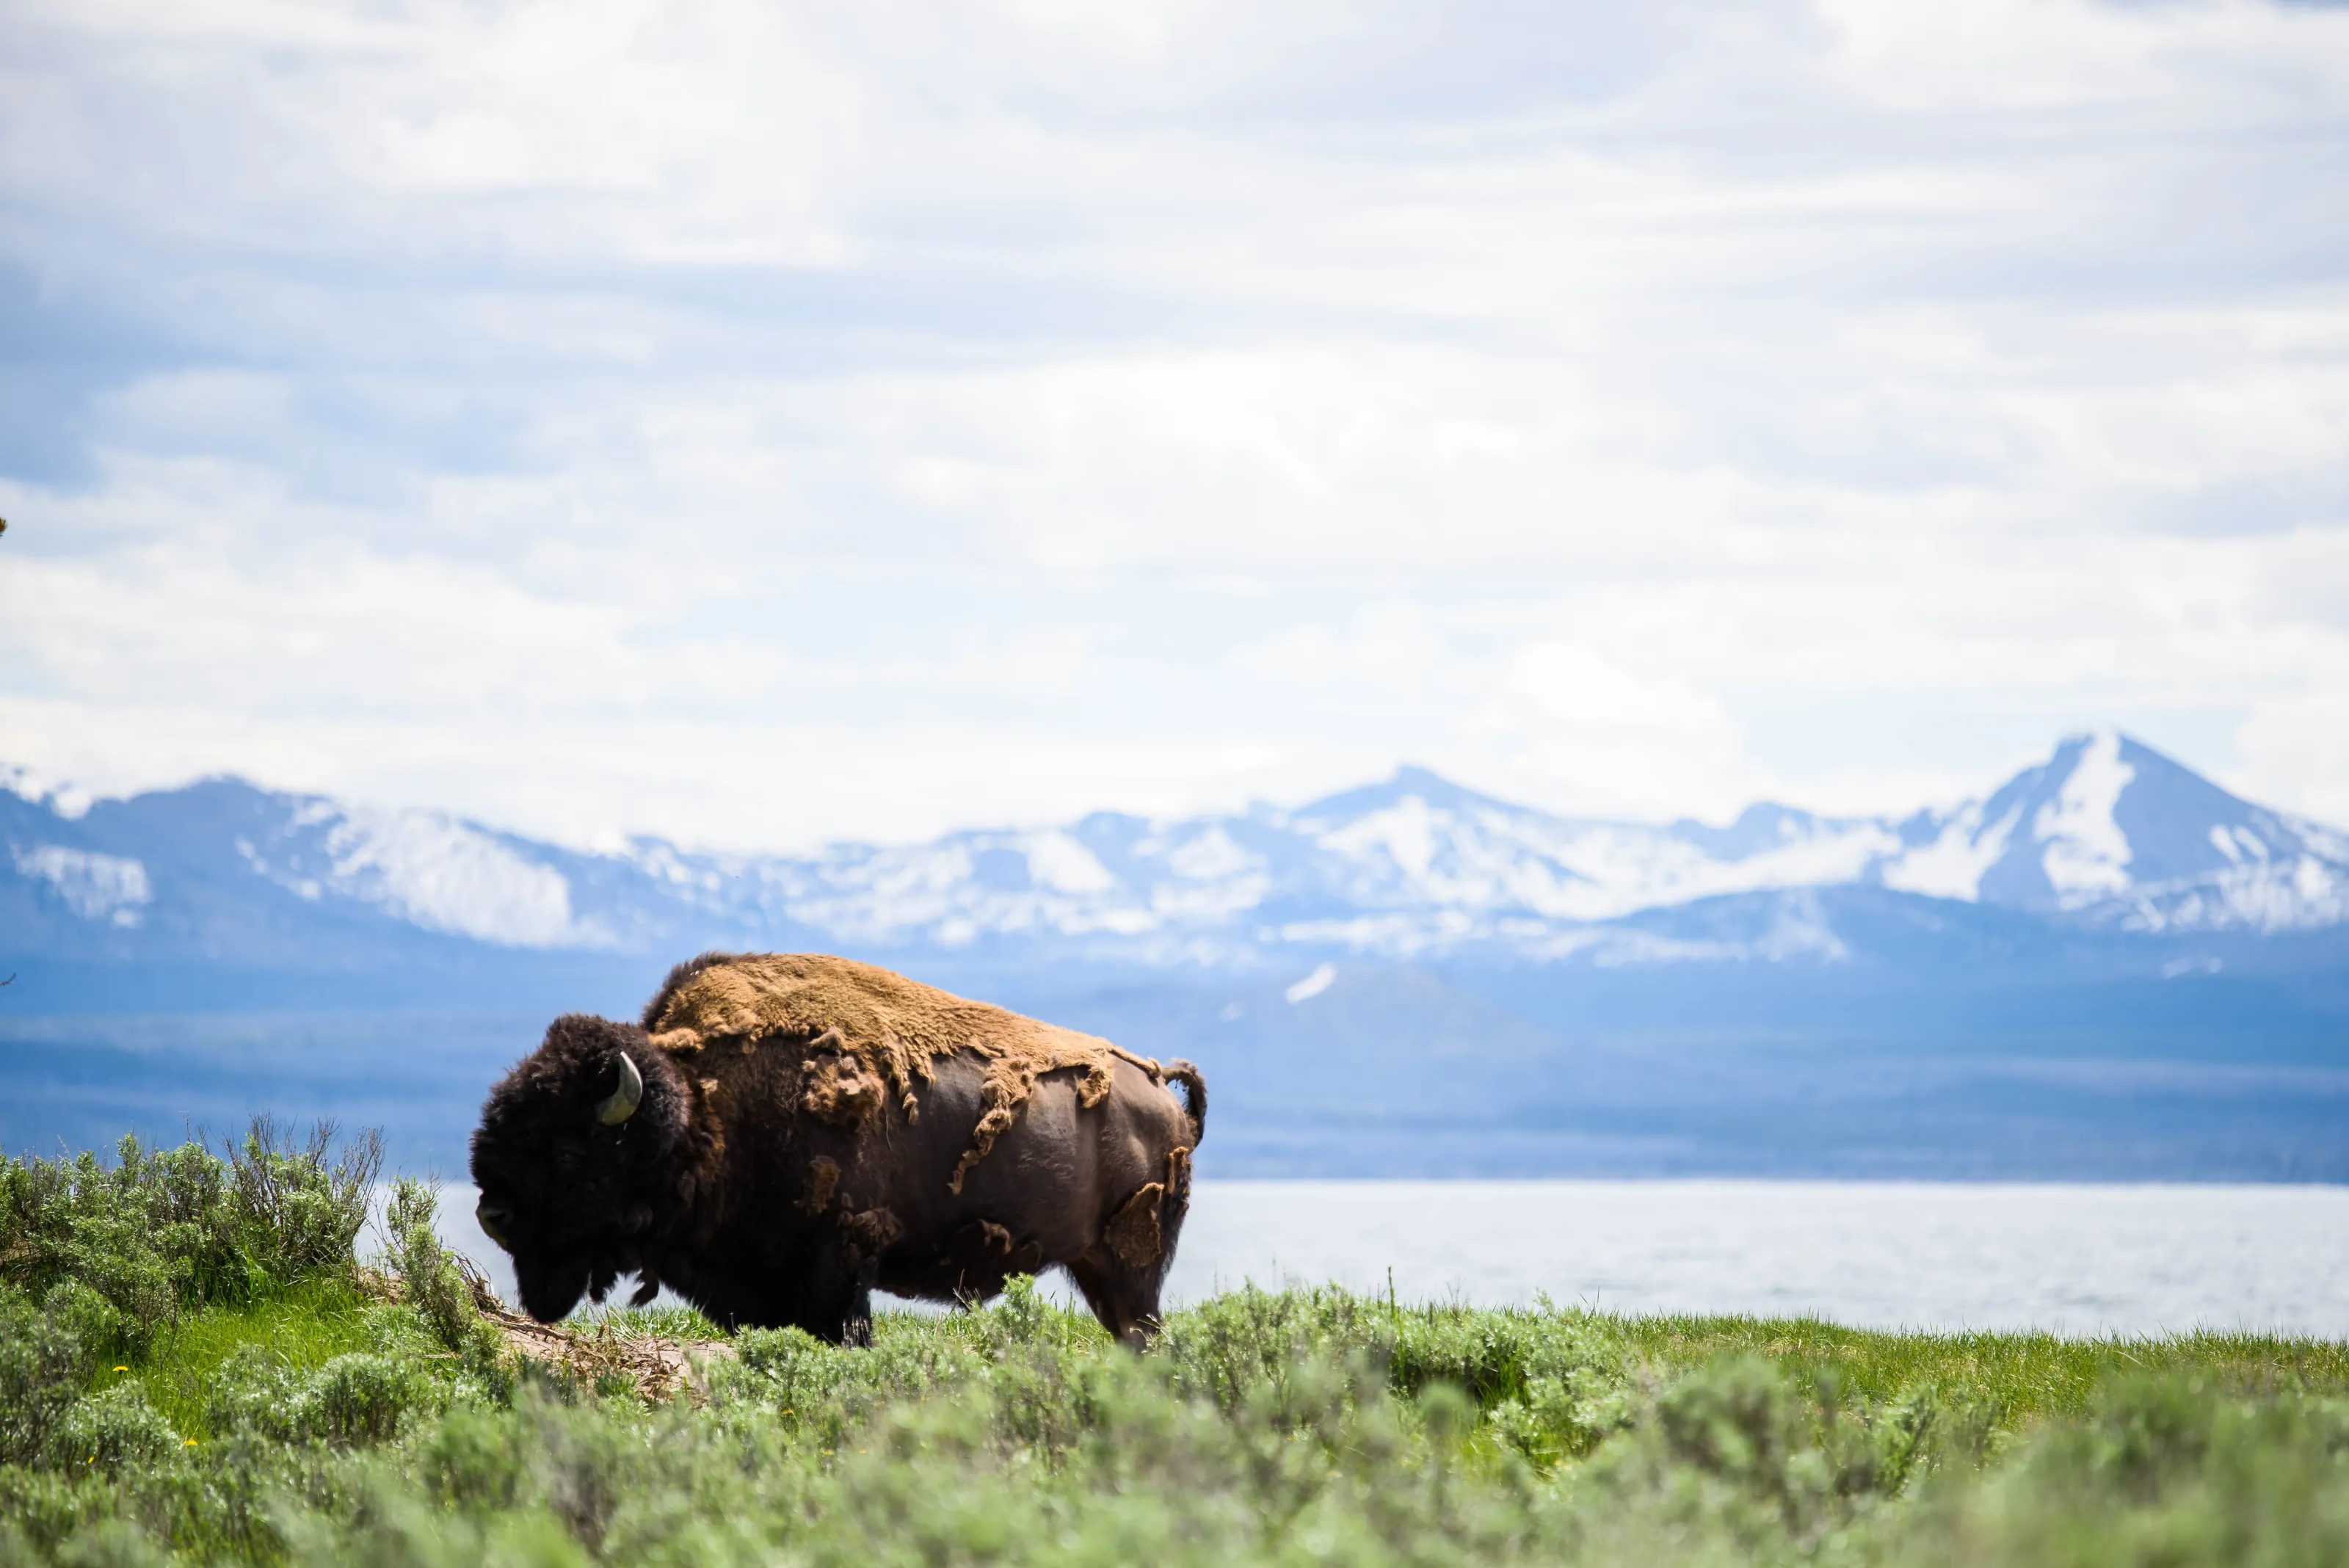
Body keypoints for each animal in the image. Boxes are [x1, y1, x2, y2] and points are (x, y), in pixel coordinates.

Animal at [468, 952, 1206, 1346]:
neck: (702, 1110)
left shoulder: (839, 1268)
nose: (491, 1214)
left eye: (569, 1153)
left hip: (1131, 1268)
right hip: (1098, 1268)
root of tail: (1166, 1100)